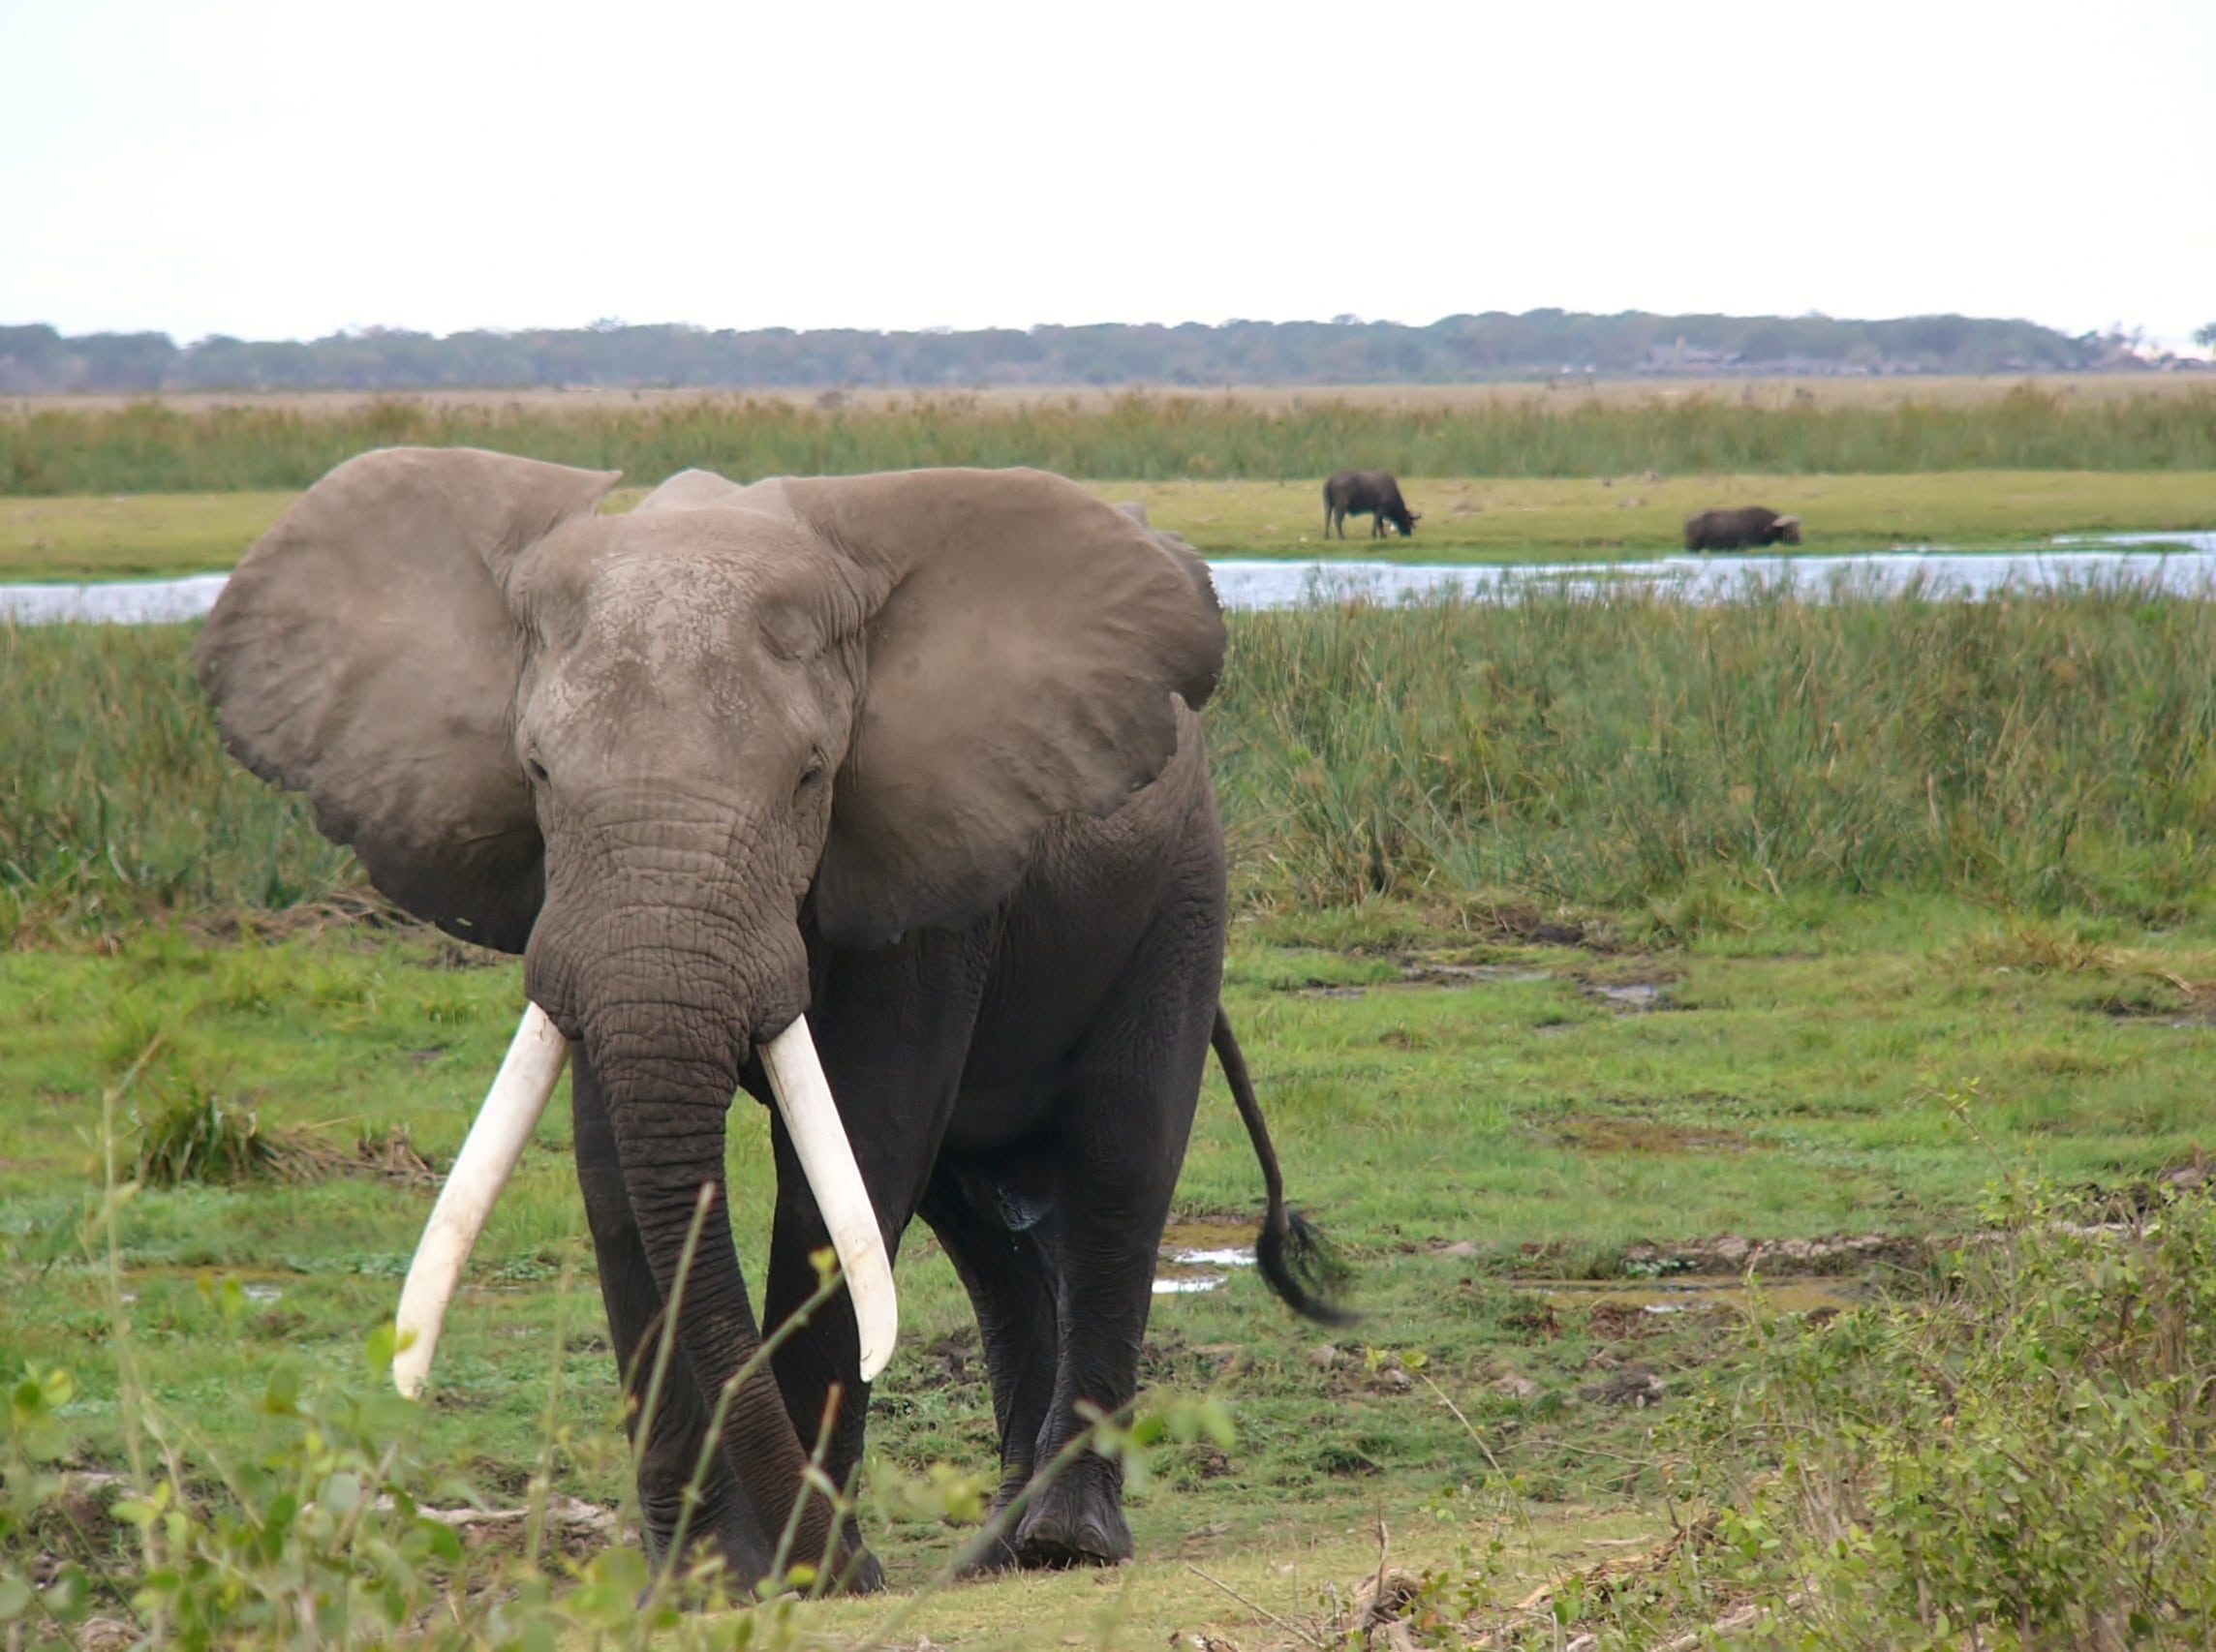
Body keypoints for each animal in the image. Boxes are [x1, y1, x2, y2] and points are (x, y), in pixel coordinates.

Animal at [194, 448, 1346, 1593]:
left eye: (809, 776)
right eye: (537, 772)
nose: (843, 1565)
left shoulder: (920, 865)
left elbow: (856, 1158)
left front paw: (811, 1575)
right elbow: (617, 1175)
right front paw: (705, 1577)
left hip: (1177, 894)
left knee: (1117, 1162)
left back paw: (1064, 1540)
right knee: (979, 1223)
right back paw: (993, 1553)